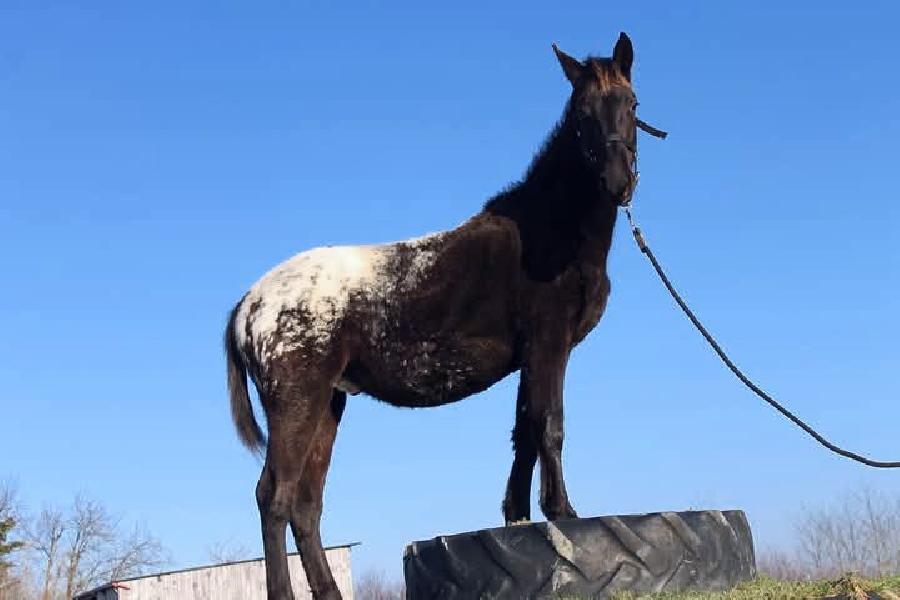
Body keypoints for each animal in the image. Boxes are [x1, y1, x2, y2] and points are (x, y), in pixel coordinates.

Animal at [225, 32, 644, 600]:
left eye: (632, 104)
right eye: (581, 114)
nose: (619, 182)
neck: (549, 231)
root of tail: (249, 303)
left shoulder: (530, 356)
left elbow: (524, 431)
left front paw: (516, 518)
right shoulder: (549, 344)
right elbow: (549, 424)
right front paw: (562, 511)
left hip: (327, 405)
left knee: (306, 505)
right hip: (296, 404)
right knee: (275, 497)